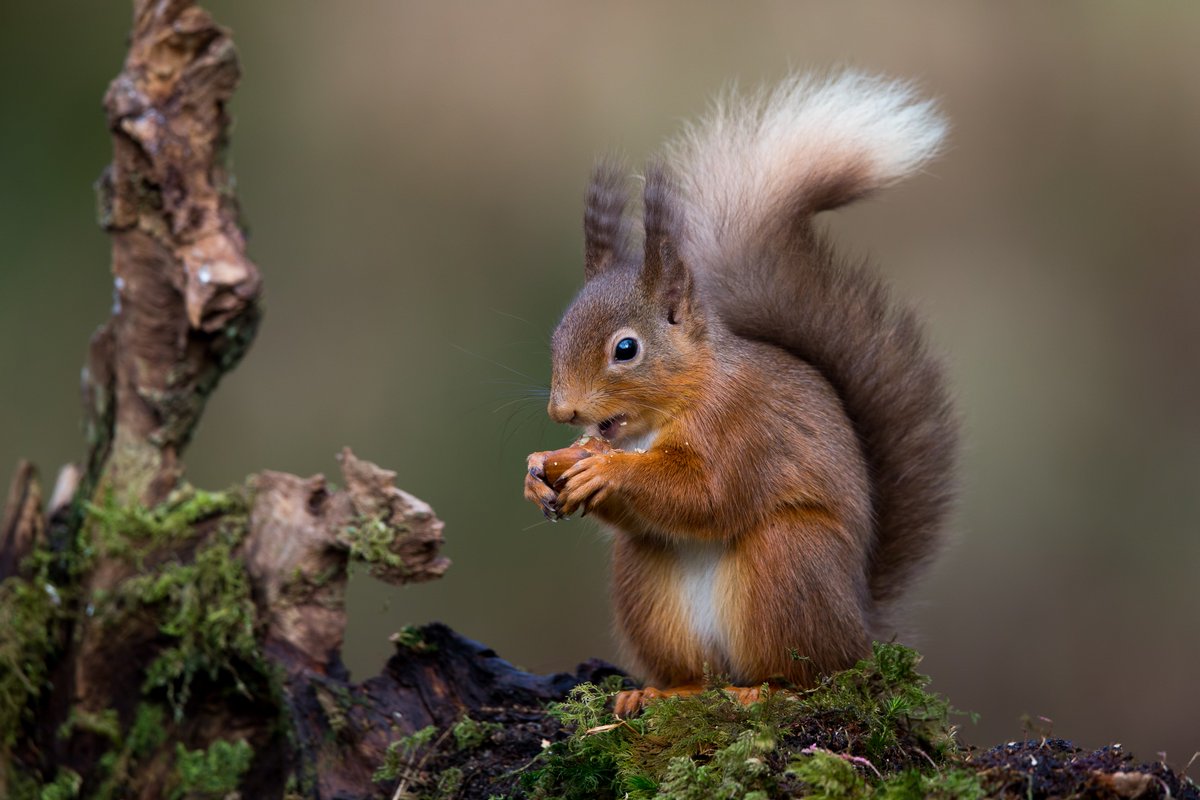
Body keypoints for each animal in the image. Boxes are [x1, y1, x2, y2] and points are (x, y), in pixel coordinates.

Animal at [523, 72, 957, 716]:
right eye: (556, 335)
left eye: (625, 349)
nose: (562, 411)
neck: (662, 416)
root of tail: (861, 629)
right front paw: (539, 469)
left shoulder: (746, 424)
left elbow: (709, 494)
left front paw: (606, 470)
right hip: (646, 582)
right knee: (692, 667)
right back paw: (658, 691)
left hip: (788, 561)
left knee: (808, 672)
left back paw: (763, 689)